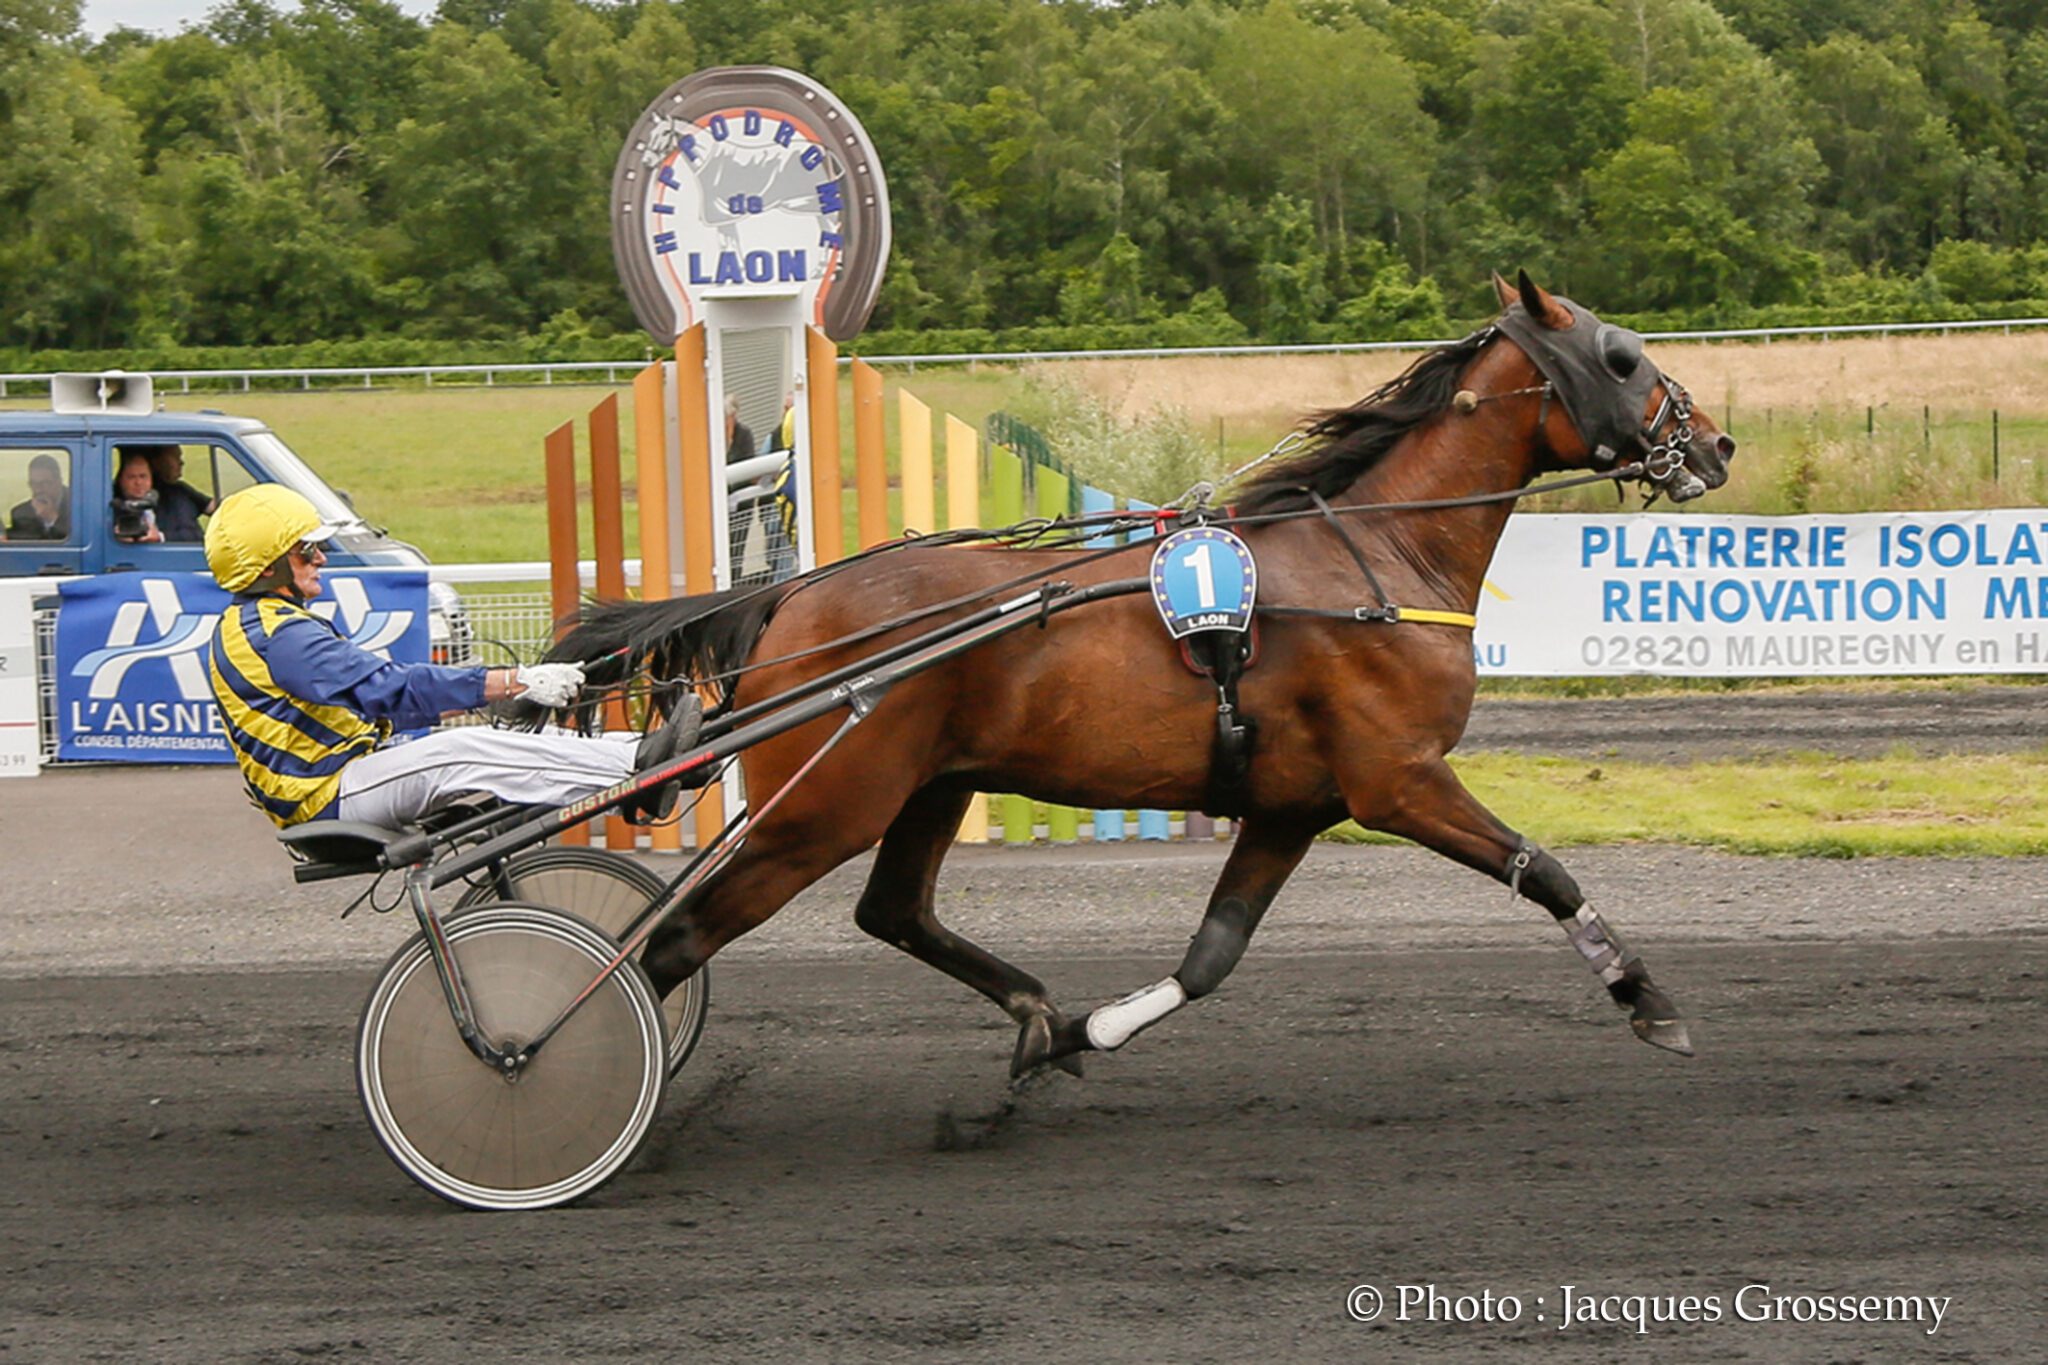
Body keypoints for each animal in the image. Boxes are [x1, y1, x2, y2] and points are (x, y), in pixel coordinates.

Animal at [540, 270, 1728, 1080]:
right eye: (1623, 358)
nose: (1713, 444)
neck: (1375, 559)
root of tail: (788, 598)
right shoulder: (1399, 779)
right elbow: (1545, 869)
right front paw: (1649, 1000)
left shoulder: (1293, 804)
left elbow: (1210, 957)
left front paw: (1079, 1029)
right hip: (823, 805)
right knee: (675, 941)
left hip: (929, 785)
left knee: (891, 911)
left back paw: (1031, 1012)